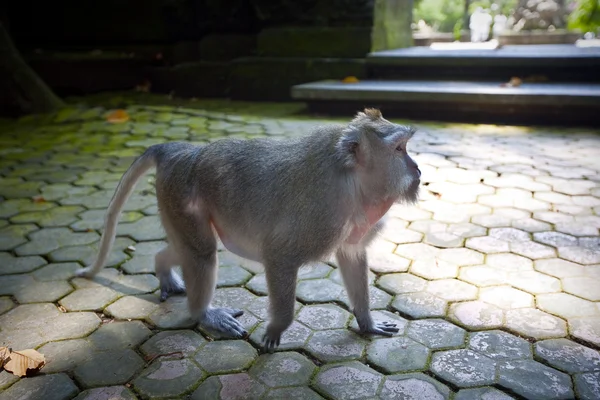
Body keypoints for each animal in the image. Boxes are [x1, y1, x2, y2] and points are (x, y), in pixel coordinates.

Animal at [77, 108, 420, 350]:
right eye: (399, 149)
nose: (417, 168)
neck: (352, 180)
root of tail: (180, 152)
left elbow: (351, 256)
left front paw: (367, 322)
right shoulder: (321, 217)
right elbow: (280, 256)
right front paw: (276, 329)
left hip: (172, 200)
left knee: (189, 249)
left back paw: (163, 268)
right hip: (179, 196)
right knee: (202, 253)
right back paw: (203, 313)